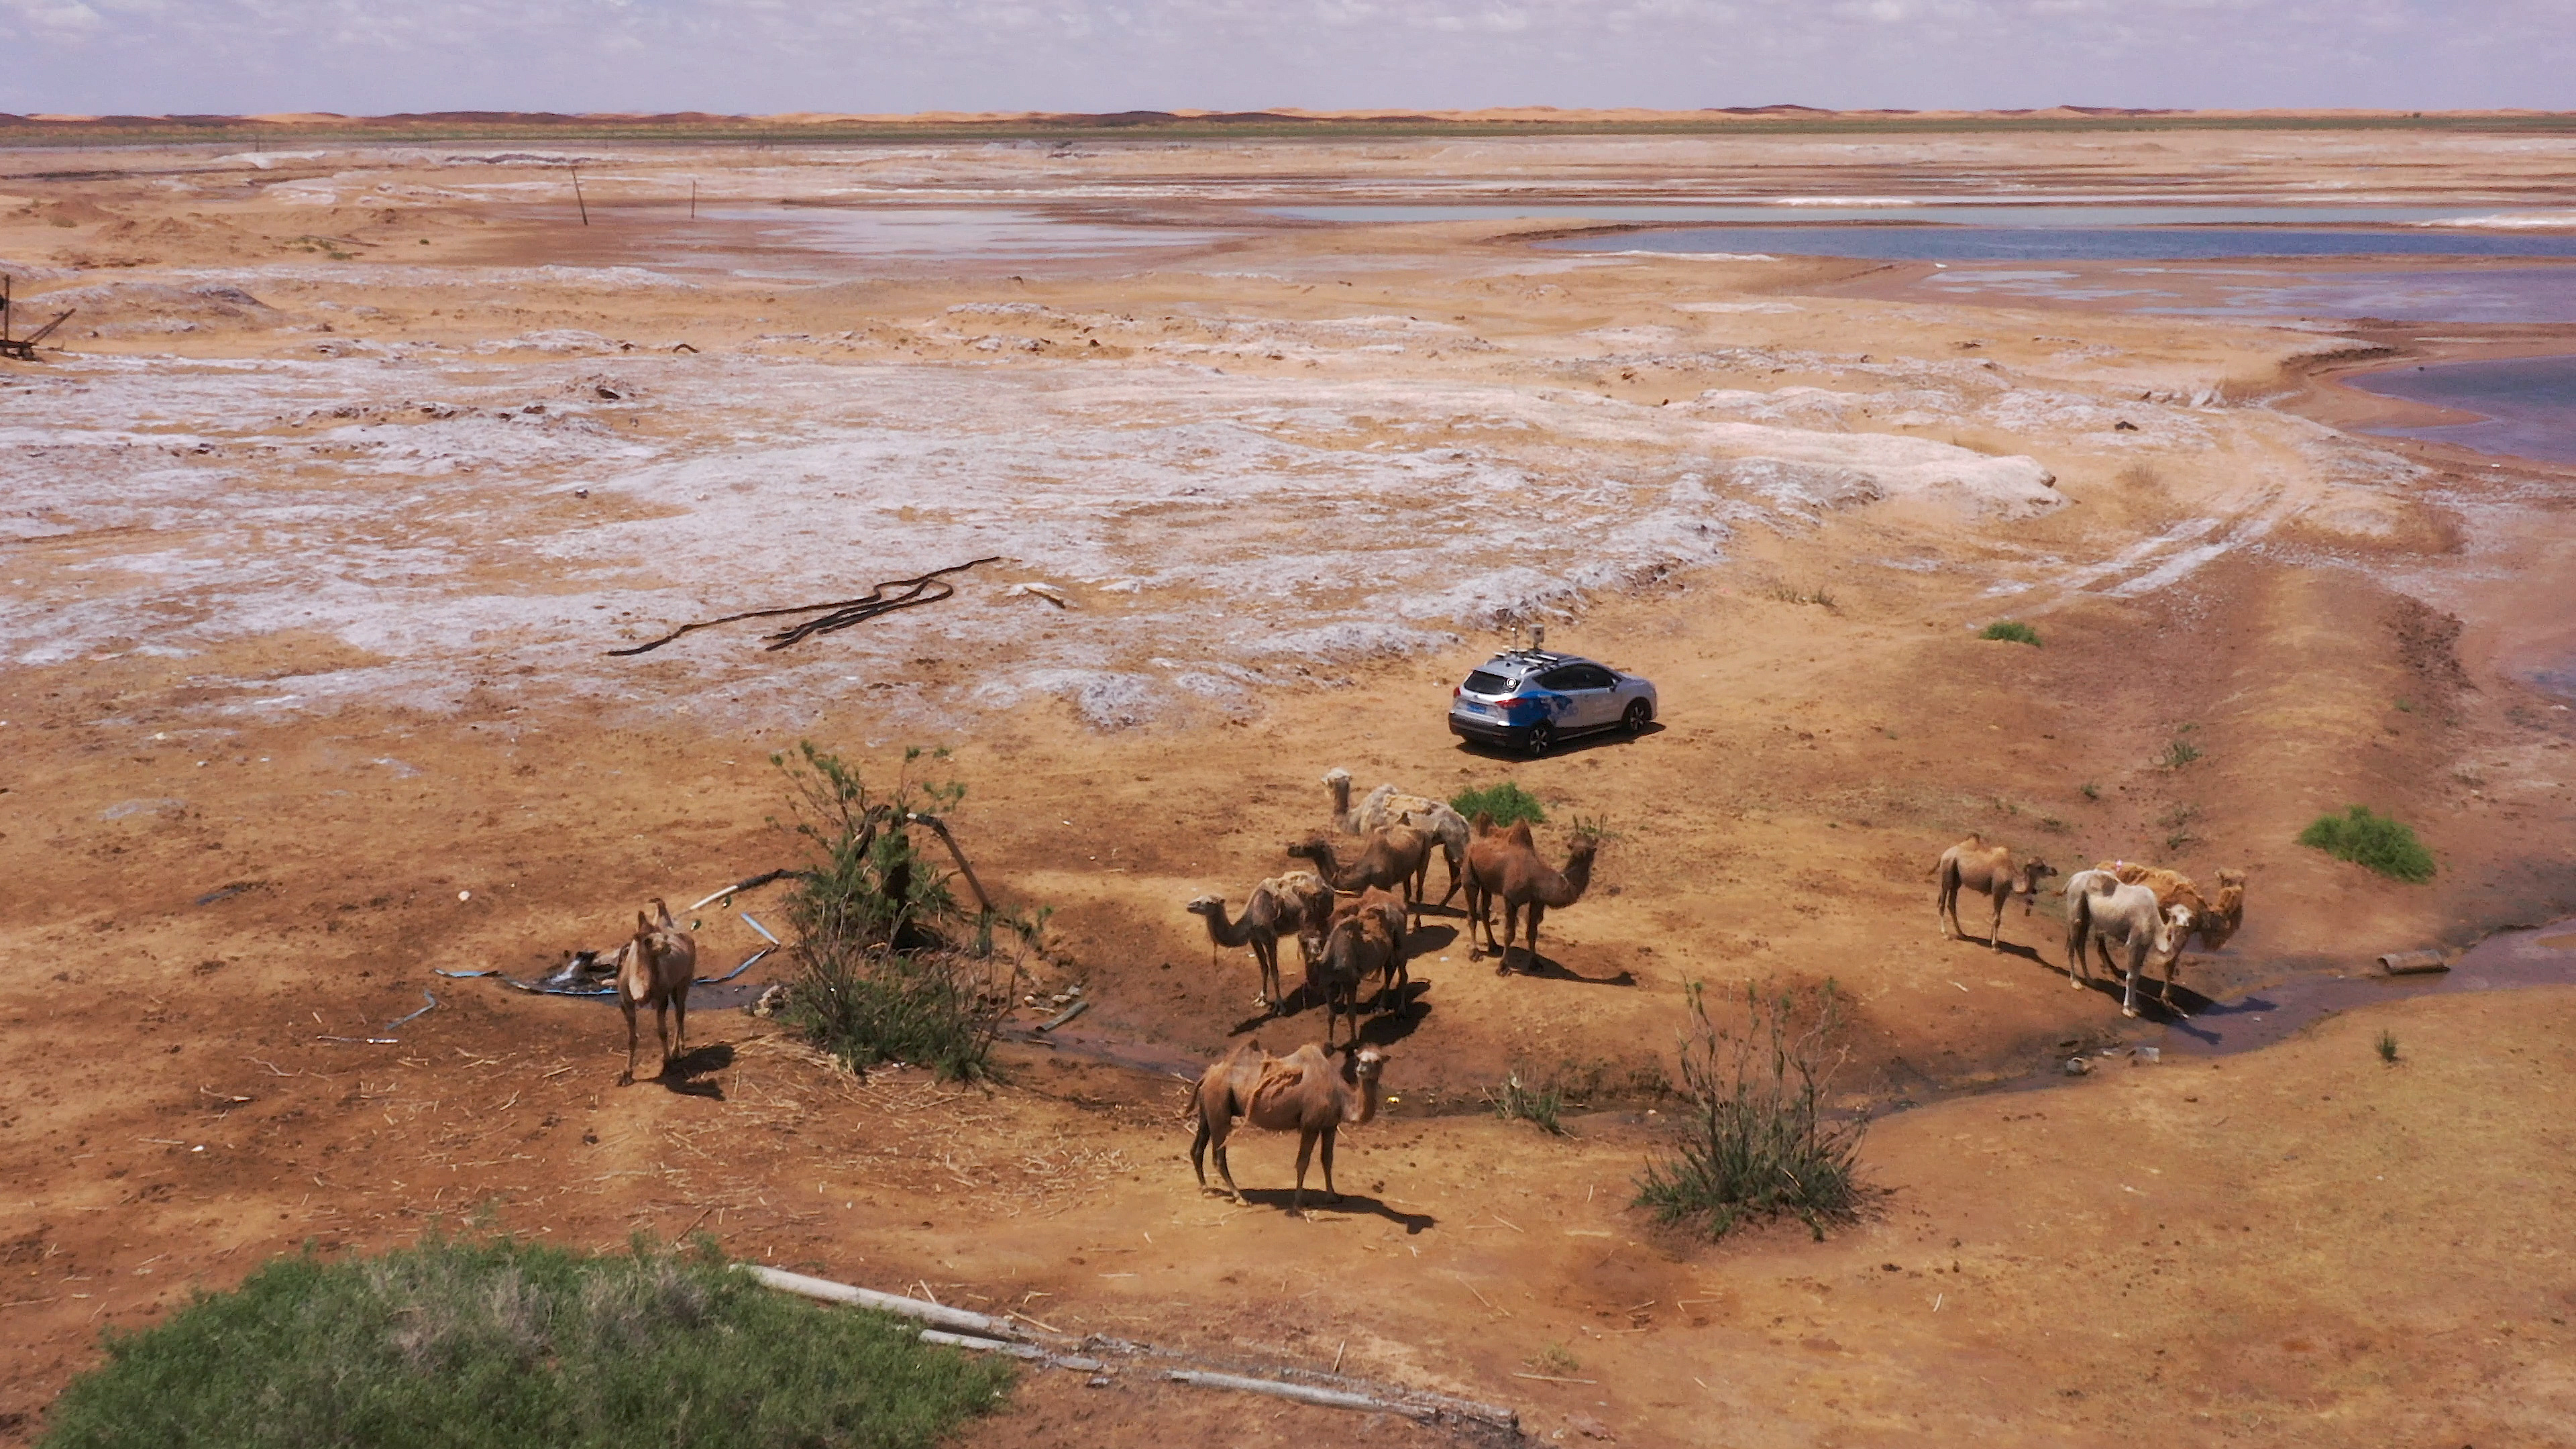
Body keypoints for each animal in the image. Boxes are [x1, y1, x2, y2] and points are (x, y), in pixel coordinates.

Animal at [618, 892, 700, 1083]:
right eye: (647, 940)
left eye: (661, 935)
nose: (667, 946)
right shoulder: (626, 1002)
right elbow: (631, 1038)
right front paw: (626, 1074)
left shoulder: (660, 999)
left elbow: (662, 1031)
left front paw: (667, 1063)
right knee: (680, 1012)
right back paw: (681, 1047)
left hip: (684, 980)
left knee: (680, 1012)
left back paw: (676, 1052)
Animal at [1190, 1036, 1391, 1206]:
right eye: (1360, 1059)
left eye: (1377, 1061)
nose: (1361, 1069)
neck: (1341, 1097)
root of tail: (1207, 1075)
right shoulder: (1310, 1124)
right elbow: (1303, 1161)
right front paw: (1299, 1201)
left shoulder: (1330, 1126)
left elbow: (1327, 1160)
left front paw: (1332, 1196)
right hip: (1219, 1107)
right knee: (1219, 1157)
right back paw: (1240, 1197)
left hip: (1208, 1109)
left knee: (1197, 1149)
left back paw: (1206, 1189)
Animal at [1329, 768, 1473, 902]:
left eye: (1330, 780)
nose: (1324, 779)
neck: (1355, 817)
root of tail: (1464, 823)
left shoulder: (1371, 835)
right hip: (1450, 848)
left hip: (1455, 844)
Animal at [1473, 814, 1587, 969]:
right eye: (1573, 845)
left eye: (1593, 847)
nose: (1583, 851)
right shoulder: (1511, 899)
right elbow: (1509, 934)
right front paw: (1503, 966)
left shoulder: (1537, 900)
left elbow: (1532, 933)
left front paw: (1535, 963)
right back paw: (1476, 952)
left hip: (1487, 883)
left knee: (1484, 911)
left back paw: (1493, 946)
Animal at [1937, 835, 2050, 949]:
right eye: (2040, 866)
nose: (2053, 870)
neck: (2011, 877)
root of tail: (1945, 853)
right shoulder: (1997, 891)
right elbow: (1997, 918)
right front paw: (1995, 946)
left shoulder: (2004, 894)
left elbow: (1995, 916)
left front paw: (1992, 940)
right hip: (1947, 870)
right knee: (1942, 903)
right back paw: (1945, 933)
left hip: (1957, 880)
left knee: (1951, 904)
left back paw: (1961, 934)